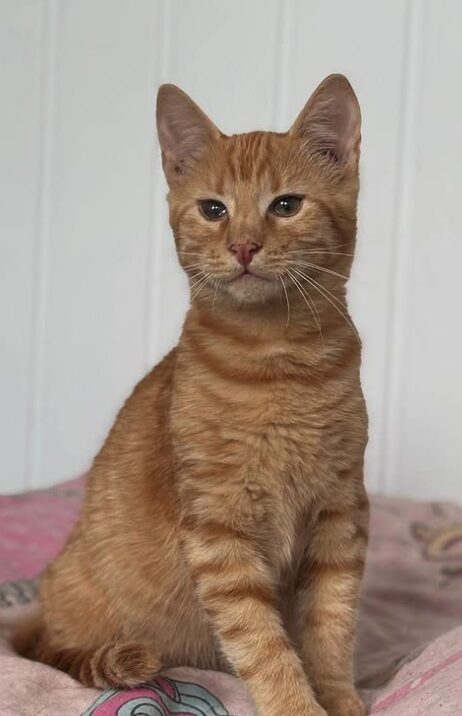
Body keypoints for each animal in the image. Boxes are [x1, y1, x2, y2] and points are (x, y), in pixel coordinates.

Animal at [12, 74, 370, 716]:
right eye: (213, 210)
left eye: (286, 205)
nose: (244, 246)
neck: (278, 364)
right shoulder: (220, 531)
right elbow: (264, 643)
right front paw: (298, 705)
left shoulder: (339, 514)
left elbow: (331, 624)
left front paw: (338, 697)